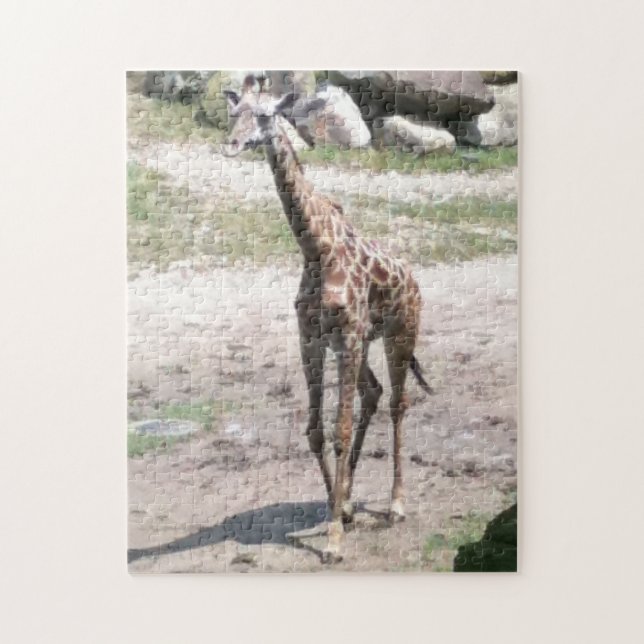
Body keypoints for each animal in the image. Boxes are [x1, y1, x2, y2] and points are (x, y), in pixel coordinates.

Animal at [222, 77, 433, 562]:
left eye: (265, 115)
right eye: (234, 113)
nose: (232, 144)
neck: (316, 249)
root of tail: (414, 281)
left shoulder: (350, 337)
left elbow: (339, 430)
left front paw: (335, 538)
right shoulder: (313, 339)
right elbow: (316, 431)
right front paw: (341, 508)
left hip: (399, 334)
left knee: (397, 403)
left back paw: (395, 505)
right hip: (360, 345)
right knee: (374, 393)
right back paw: (352, 498)